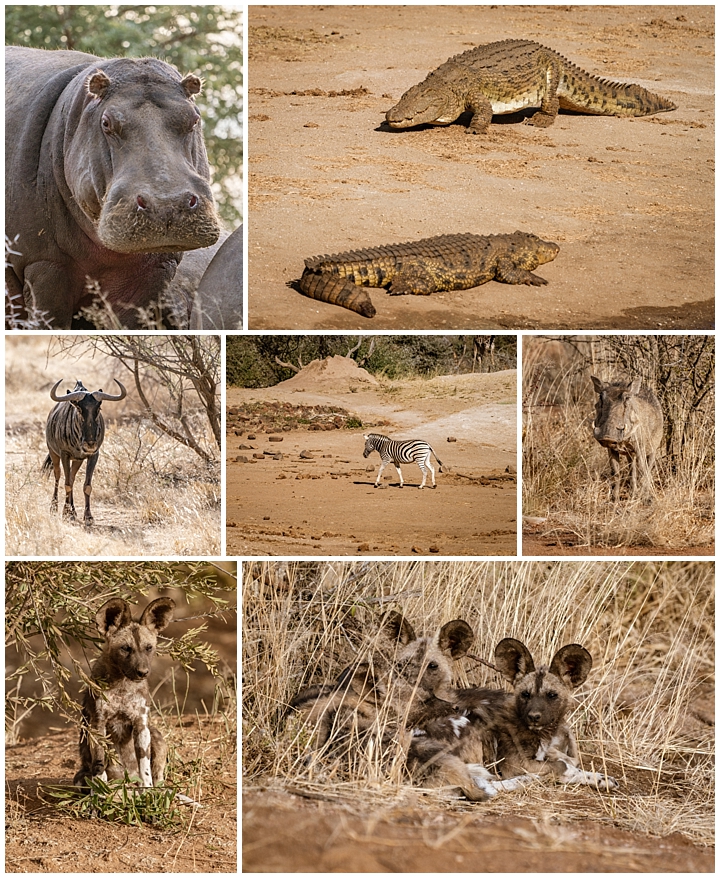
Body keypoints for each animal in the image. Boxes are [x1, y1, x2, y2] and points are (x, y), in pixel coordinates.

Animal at [42, 376, 127, 524]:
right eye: (79, 409)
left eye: (98, 408)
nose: (90, 444)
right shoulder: (64, 454)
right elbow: (67, 484)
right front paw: (67, 514)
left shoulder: (93, 455)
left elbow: (86, 485)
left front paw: (87, 516)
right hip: (53, 453)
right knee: (58, 476)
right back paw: (55, 507)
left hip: (77, 460)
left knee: (72, 477)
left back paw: (73, 510)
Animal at [73, 600, 176, 792]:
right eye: (125, 649)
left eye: (148, 648)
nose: (143, 672)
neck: (122, 686)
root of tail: (126, 781)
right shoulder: (98, 725)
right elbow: (100, 765)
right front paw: (101, 792)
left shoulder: (141, 725)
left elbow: (145, 769)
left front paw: (148, 791)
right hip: (79, 778)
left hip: (156, 737)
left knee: (157, 776)